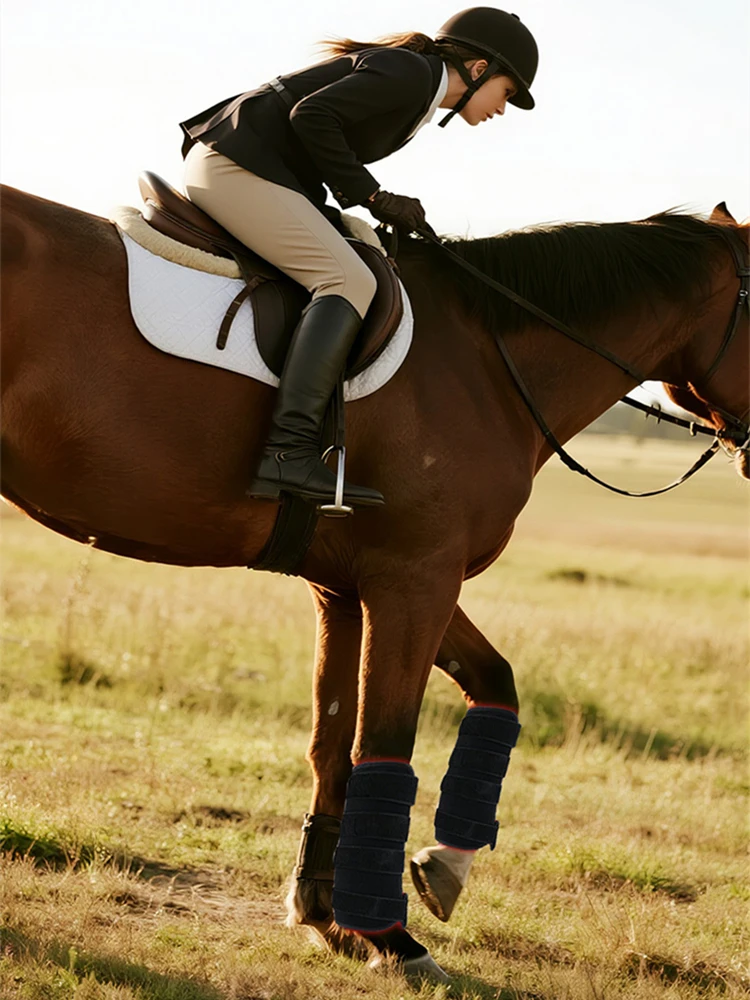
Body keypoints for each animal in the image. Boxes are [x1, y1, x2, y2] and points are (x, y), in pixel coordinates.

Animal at [2, 182, 748, 978]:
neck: (485, 362)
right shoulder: (414, 579)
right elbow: (383, 740)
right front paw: (390, 935)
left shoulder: (356, 585)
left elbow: (384, 725)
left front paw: (350, 903)